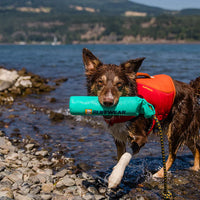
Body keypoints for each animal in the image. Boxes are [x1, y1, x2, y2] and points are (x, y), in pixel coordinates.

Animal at [81, 47, 200, 188]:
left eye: (119, 84)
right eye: (100, 82)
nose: (108, 102)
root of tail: (190, 88)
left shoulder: (141, 136)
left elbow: (126, 155)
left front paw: (115, 177)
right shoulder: (118, 136)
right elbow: (120, 156)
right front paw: (117, 173)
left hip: (176, 128)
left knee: (173, 155)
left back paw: (159, 174)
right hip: (182, 128)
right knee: (196, 148)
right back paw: (195, 168)